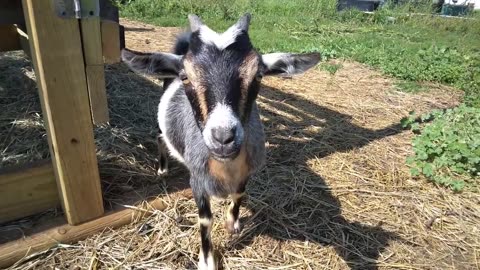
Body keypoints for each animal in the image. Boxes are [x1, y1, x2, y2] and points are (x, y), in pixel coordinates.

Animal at [122, 13, 320, 268]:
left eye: (258, 75)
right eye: (185, 76)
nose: (223, 137)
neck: (226, 168)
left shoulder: (246, 171)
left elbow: (239, 194)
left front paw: (232, 223)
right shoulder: (197, 178)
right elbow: (205, 219)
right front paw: (207, 260)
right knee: (160, 138)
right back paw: (162, 169)